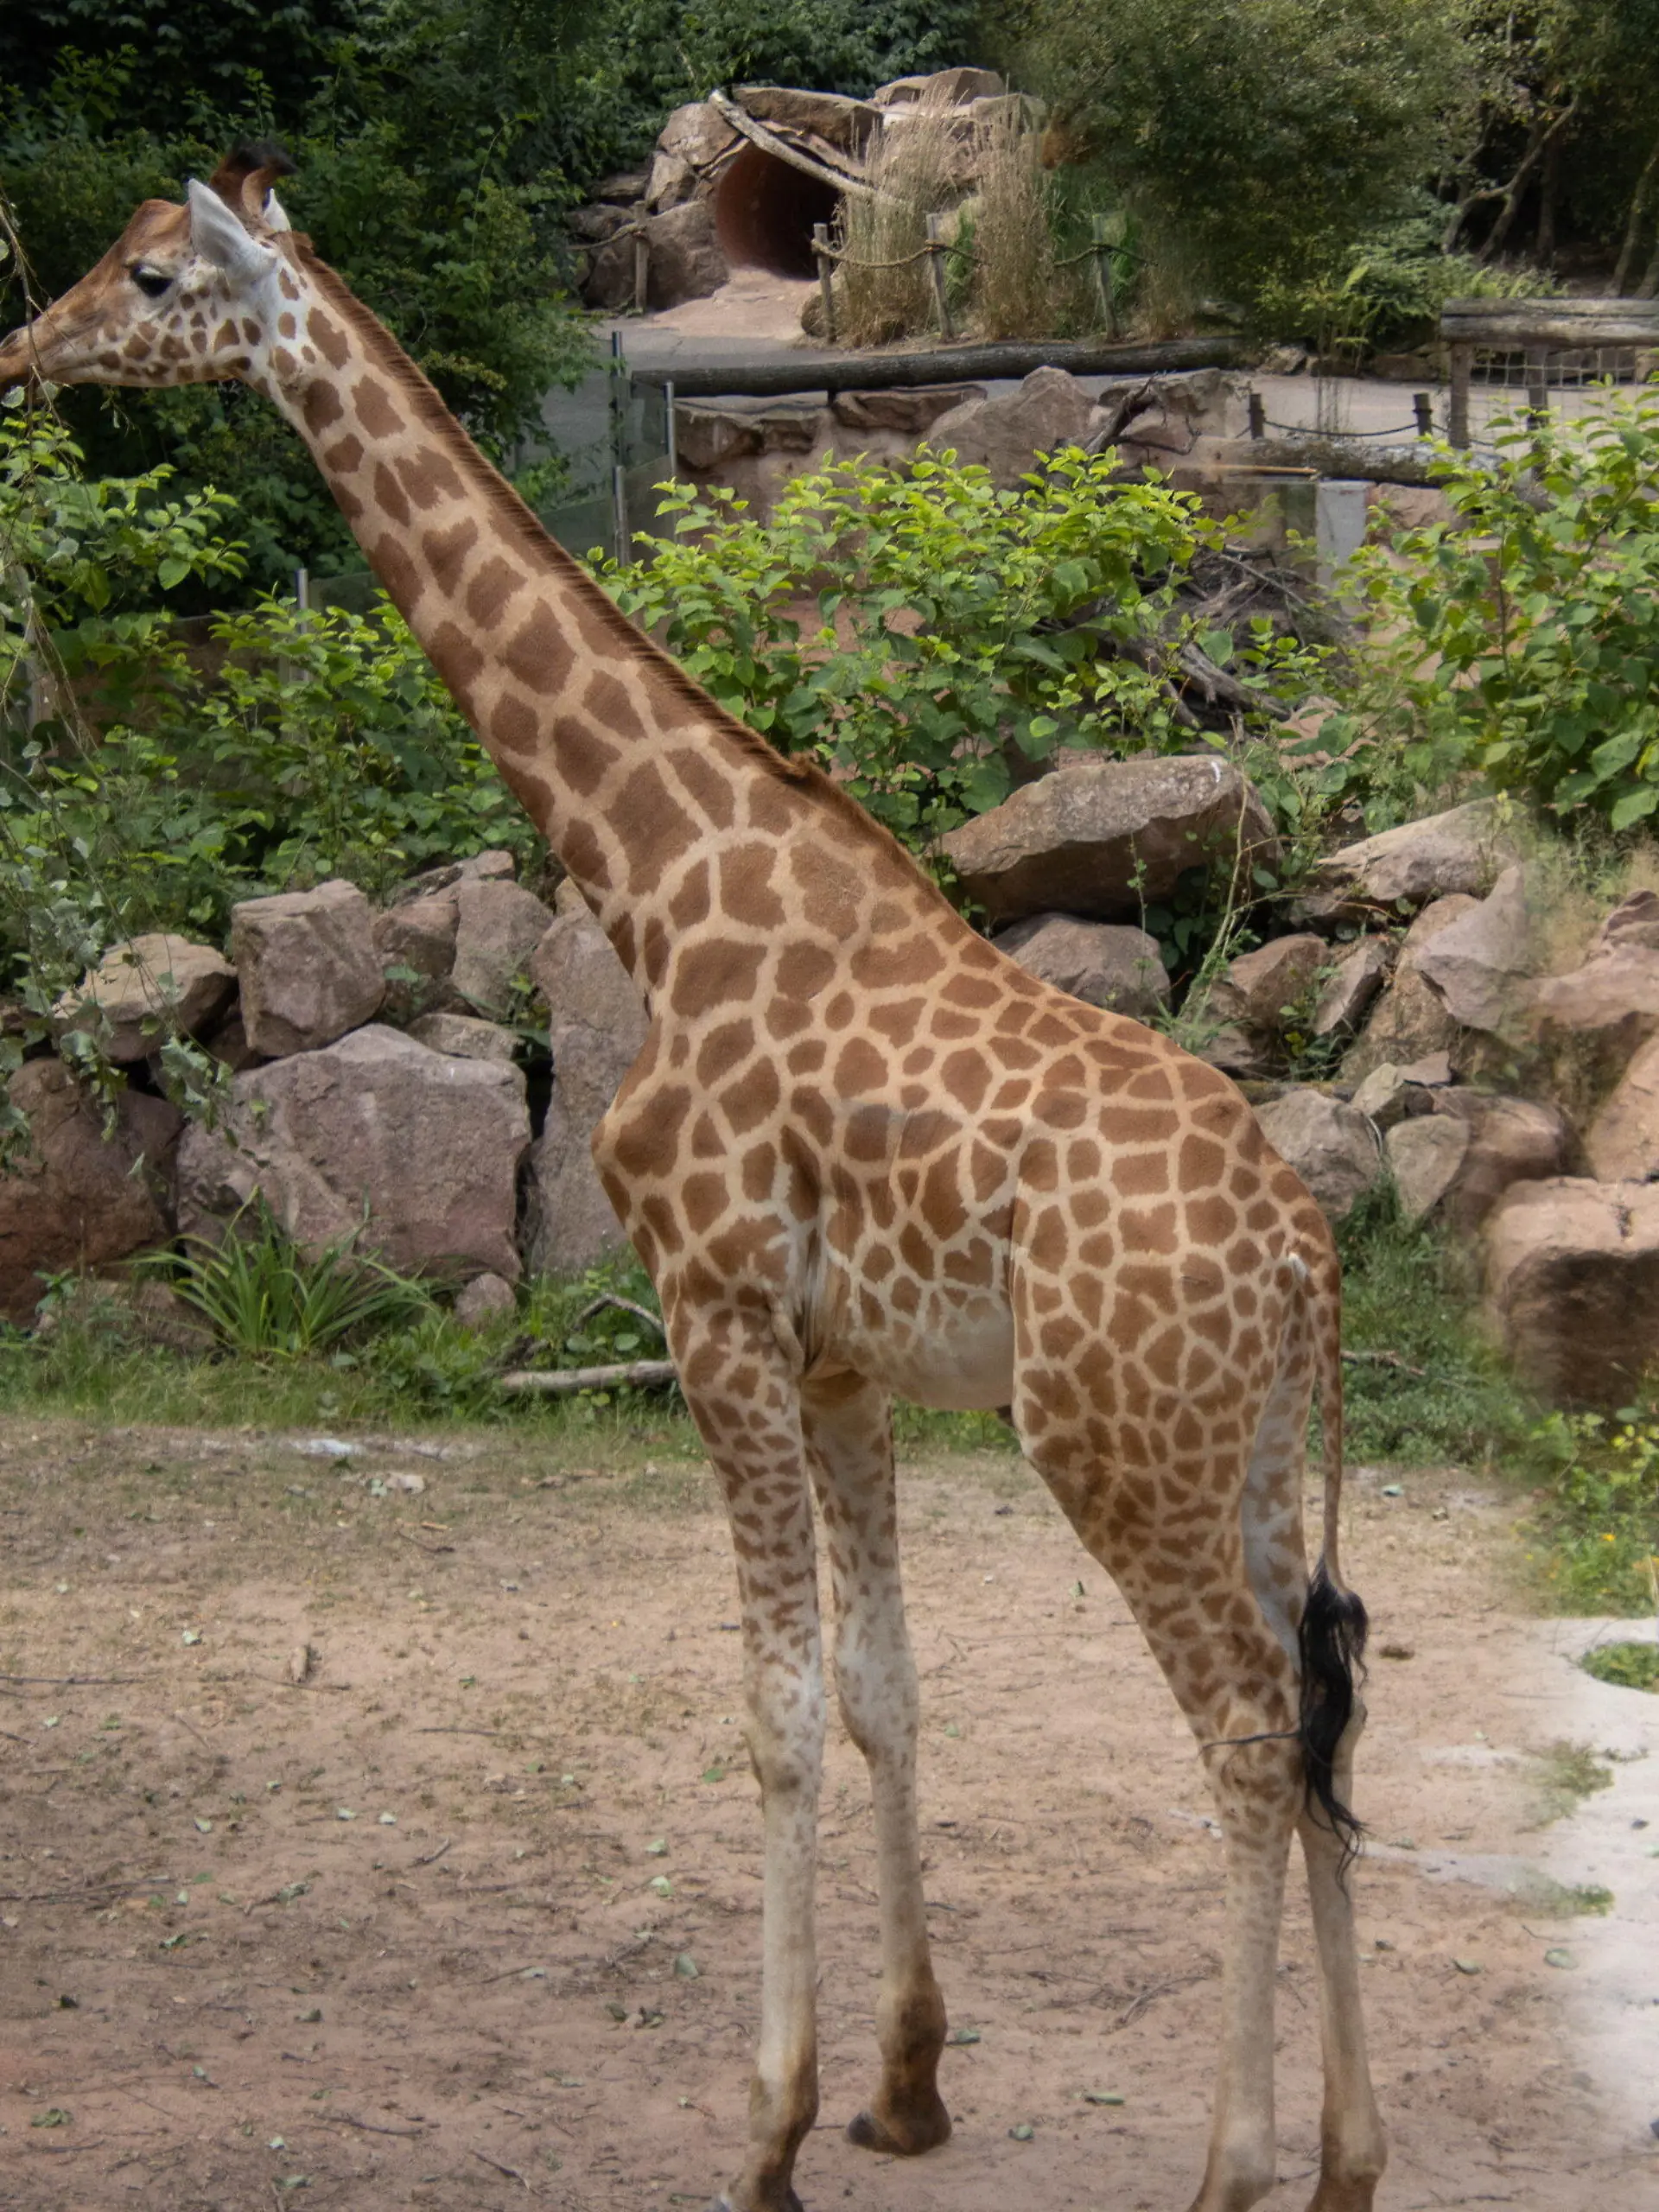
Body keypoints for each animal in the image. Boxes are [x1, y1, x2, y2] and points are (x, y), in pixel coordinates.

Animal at [0, 145, 1386, 2212]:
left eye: (156, 276)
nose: (24, 345)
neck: (659, 882)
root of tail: (1305, 1247)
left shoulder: (711, 1310)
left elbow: (779, 1711)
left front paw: (768, 2130)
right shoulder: (842, 1362)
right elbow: (888, 1688)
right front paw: (905, 2086)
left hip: (1109, 1443)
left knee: (1235, 1722)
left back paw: (1231, 2167)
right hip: (1256, 1455)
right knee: (1319, 1711)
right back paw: (1353, 2158)